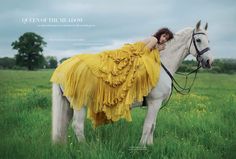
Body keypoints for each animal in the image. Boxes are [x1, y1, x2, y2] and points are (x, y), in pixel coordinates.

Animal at [52, 21, 214, 147]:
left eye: (209, 41)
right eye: (198, 40)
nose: (209, 62)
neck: (161, 64)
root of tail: (63, 66)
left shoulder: (156, 105)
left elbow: (153, 126)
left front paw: (150, 146)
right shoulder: (154, 102)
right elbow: (148, 126)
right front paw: (142, 147)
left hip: (68, 103)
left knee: (64, 124)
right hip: (80, 103)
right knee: (77, 126)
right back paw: (85, 148)